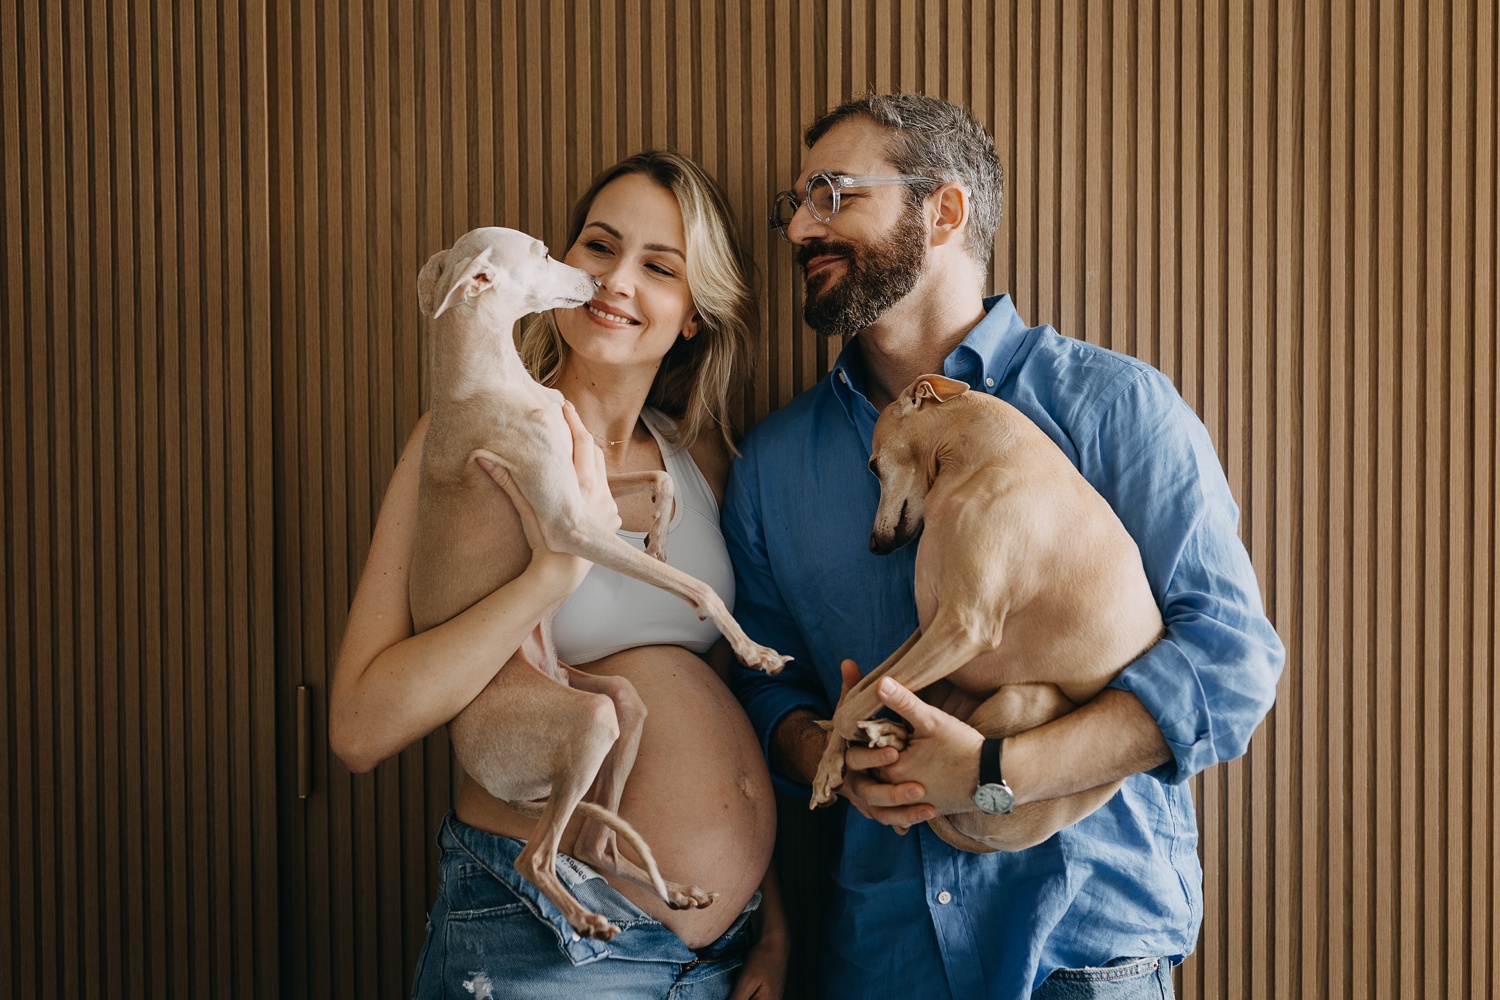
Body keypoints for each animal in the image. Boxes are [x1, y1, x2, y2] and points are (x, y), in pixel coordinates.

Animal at [405, 226, 792, 941]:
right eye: (540, 252)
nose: (595, 285)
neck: (486, 383)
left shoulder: (590, 487)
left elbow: (657, 481)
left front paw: (662, 533)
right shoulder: (571, 527)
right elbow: (697, 587)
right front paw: (753, 649)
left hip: (617, 705)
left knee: (595, 840)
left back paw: (674, 894)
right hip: (586, 723)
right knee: (536, 857)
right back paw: (586, 918)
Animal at [816, 374, 1164, 851]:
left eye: (872, 465)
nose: (874, 546)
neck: (980, 459)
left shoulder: (963, 627)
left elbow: (856, 703)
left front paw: (846, 741)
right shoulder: (928, 626)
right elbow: (861, 690)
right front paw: (829, 765)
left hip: (1021, 700)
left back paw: (888, 736)